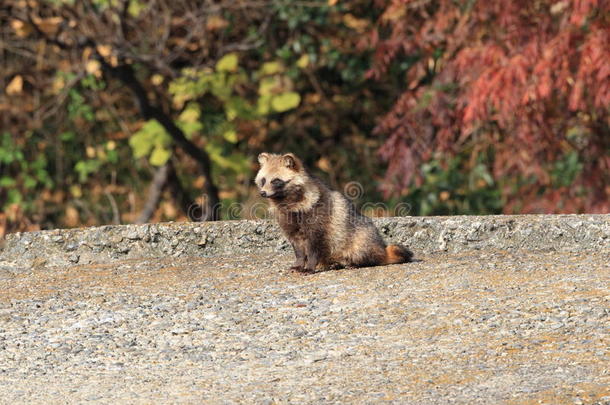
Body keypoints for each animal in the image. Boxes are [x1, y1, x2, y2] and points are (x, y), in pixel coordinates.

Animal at [254, 153, 410, 274]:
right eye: (263, 180)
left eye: (276, 181)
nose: (262, 193)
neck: (286, 201)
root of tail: (382, 249)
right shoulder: (289, 224)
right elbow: (298, 248)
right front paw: (299, 264)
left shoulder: (317, 220)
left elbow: (313, 247)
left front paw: (309, 266)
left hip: (361, 239)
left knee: (364, 253)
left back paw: (355, 263)